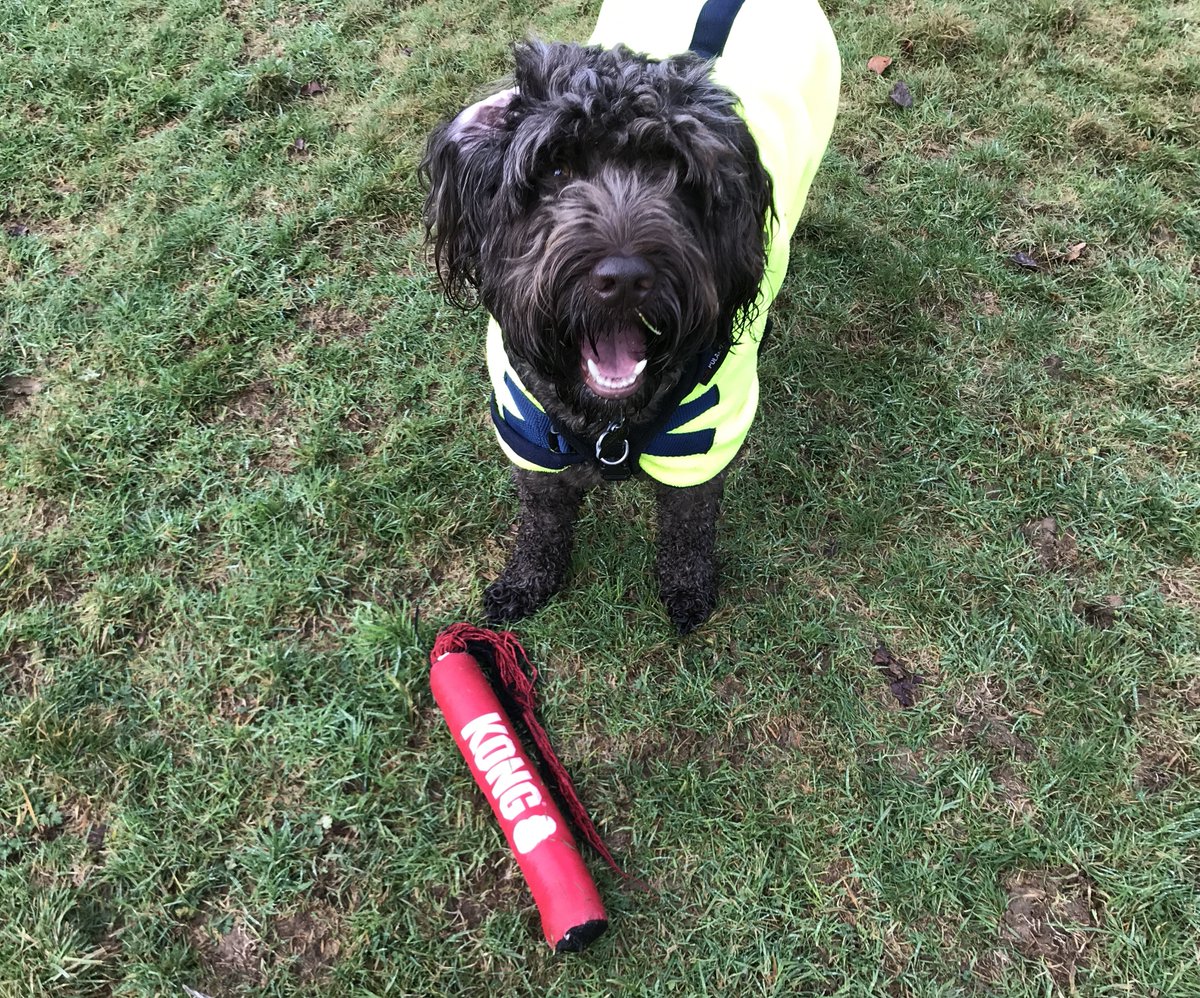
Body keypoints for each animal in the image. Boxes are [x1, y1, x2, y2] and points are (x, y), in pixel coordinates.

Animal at [427, 0, 840, 633]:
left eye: (679, 175)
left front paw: (688, 588)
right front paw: (527, 581)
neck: (608, 425)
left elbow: (688, 529)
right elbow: (540, 523)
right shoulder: (530, 438)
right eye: (555, 170)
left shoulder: (700, 444)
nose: (623, 279)